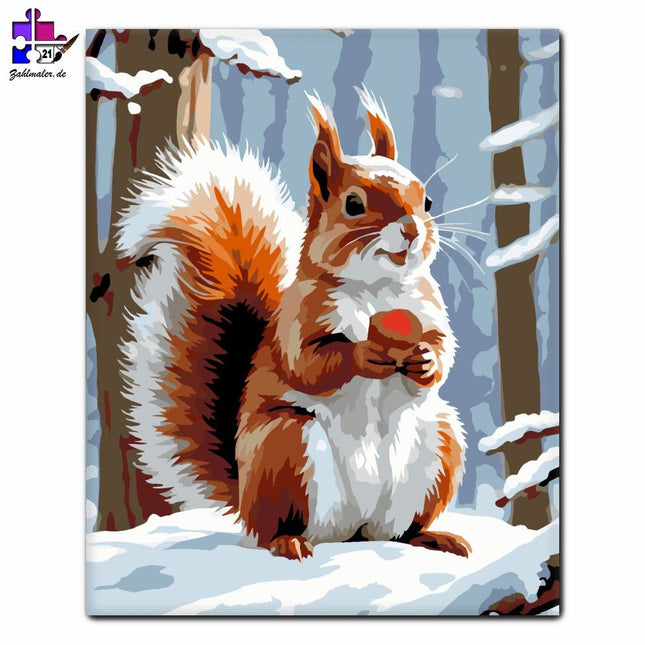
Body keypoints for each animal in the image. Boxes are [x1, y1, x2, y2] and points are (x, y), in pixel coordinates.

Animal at [114, 88, 469, 561]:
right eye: (353, 204)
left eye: (426, 201)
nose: (412, 230)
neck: (377, 289)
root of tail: (351, 530)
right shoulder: (299, 319)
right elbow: (310, 363)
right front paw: (364, 352)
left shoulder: (429, 309)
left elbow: (443, 349)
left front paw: (426, 361)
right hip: (286, 449)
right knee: (276, 528)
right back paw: (288, 542)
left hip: (438, 445)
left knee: (399, 531)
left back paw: (433, 537)